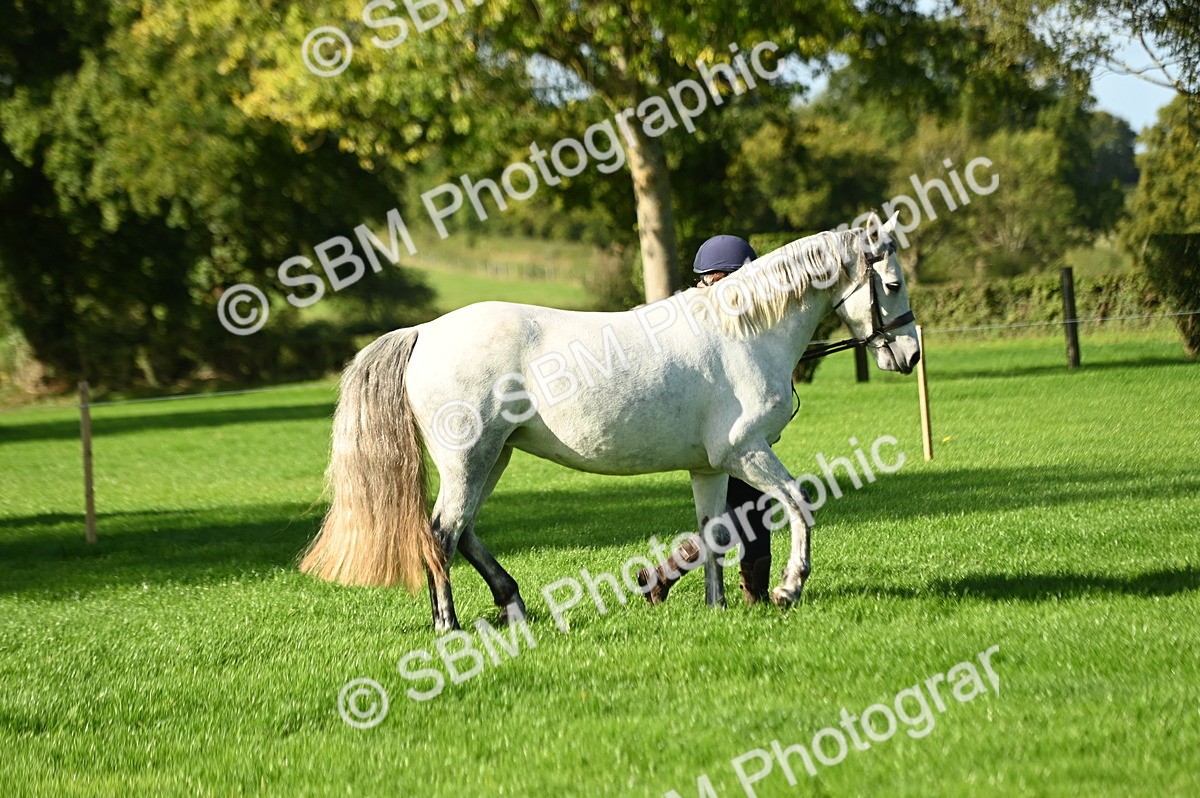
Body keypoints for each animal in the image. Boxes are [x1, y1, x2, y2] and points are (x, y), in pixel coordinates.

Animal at [299, 214, 920, 631]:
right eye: (892, 284)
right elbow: (799, 503)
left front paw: (714, 605)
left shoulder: (711, 468)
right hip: (469, 459)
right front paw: (790, 587)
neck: (741, 331)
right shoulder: (748, 452)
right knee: (441, 534)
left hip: (493, 457)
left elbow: (715, 533)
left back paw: (513, 603)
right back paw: (448, 626)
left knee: (464, 530)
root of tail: (425, 331)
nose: (910, 354)